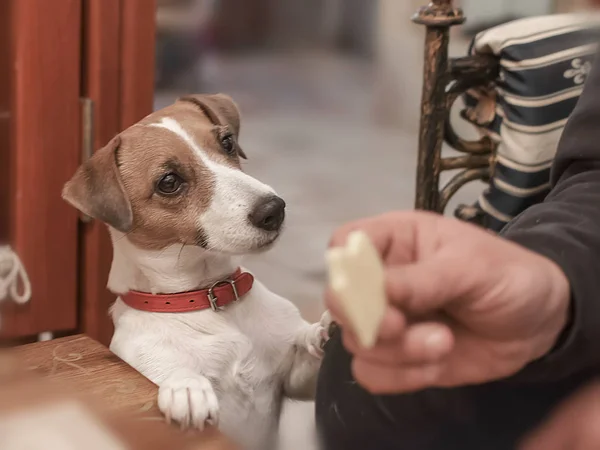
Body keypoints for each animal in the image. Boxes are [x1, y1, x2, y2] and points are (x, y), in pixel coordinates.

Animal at [63, 93, 330, 448]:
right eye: (169, 182)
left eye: (227, 142)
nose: (274, 210)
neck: (207, 296)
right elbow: (172, 371)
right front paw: (186, 387)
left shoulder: (294, 378)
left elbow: (310, 352)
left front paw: (325, 330)